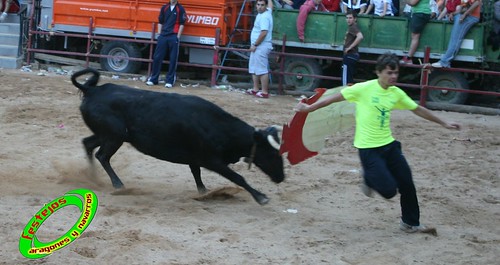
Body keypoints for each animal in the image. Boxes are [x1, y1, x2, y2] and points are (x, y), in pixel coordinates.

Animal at [72, 68, 288, 204]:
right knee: (102, 155)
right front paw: (261, 197)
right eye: (272, 154)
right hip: (114, 137)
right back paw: (118, 185)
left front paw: (204, 193)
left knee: (88, 144)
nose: (281, 177)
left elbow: (197, 175)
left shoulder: (195, 158)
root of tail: (91, 89)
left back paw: (94, 178)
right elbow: (238, 177)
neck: (218, 126)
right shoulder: (212, 160)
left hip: (107, 135)